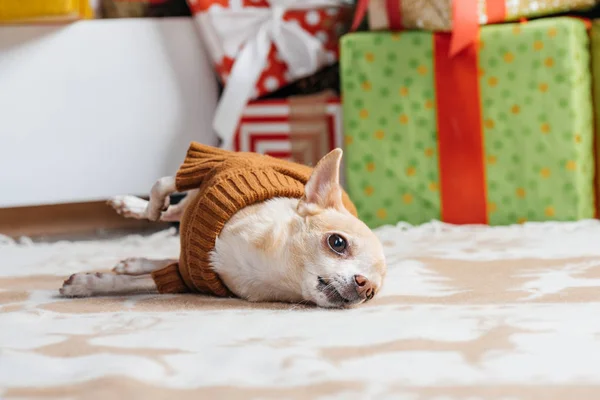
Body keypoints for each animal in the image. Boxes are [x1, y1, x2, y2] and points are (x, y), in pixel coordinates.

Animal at [59, 148, 384, 308]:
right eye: (337, 243)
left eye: (373, 294)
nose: (364, 286)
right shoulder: (214, 165)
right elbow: (163, 185)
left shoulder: (184, 278)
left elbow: (140, 282)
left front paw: (91, 283)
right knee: (171, 201)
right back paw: (133, 205)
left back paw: (134, 260)